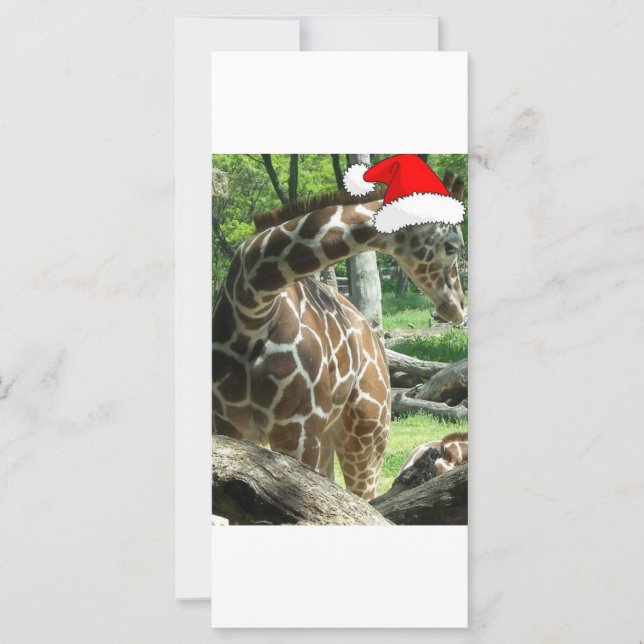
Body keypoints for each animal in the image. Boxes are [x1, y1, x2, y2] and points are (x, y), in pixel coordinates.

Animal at [212, 192, 465, 500]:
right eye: (452, 247)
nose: (457, 307)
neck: (252, 308)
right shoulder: (225, 426)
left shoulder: (296, 431)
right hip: (329, 437)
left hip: (367, 437)